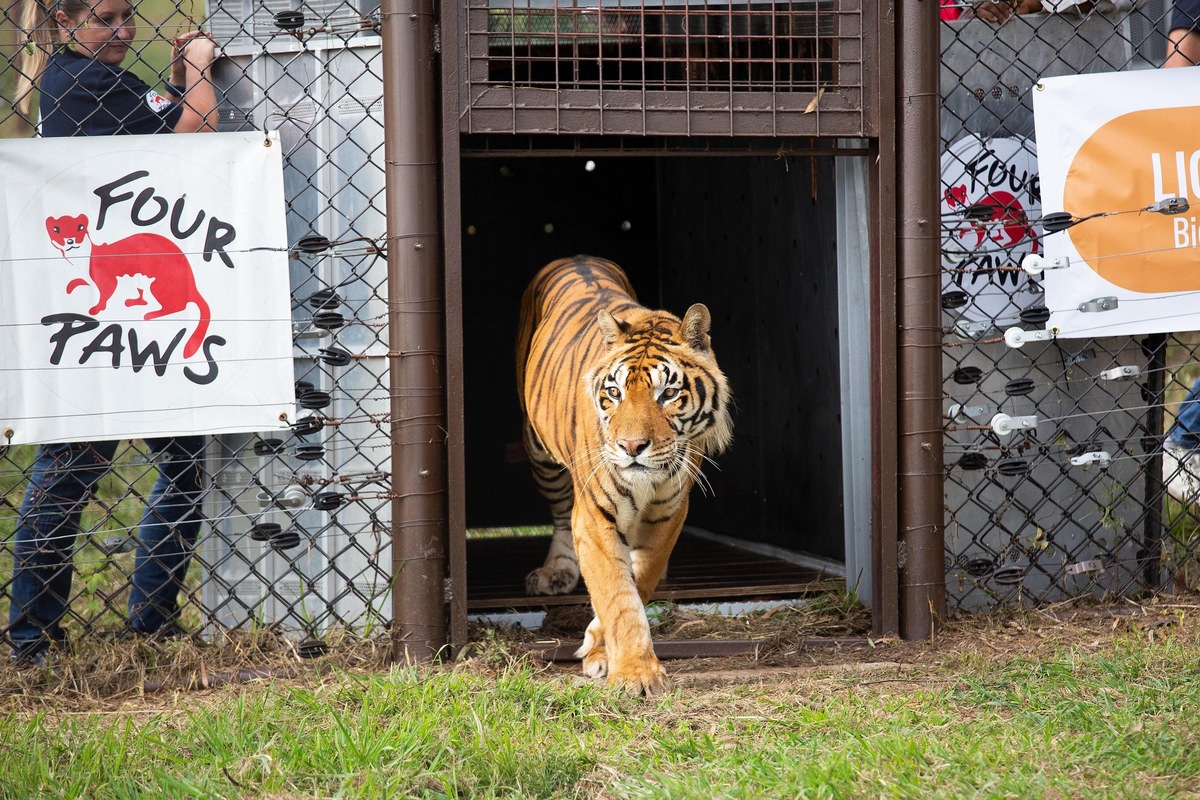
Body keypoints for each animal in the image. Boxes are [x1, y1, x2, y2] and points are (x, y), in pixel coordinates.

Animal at [520, 256, 734, 695]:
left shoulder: (668, 513)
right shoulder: (595, 515)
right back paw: (557, 572)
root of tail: (576, 256)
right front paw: (635, 674)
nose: (632, 447)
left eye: (668, 394)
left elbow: (638, 581)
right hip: (540, 455)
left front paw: (601, 648)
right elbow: (617, 594)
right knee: (560, 518)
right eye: (614, 393)